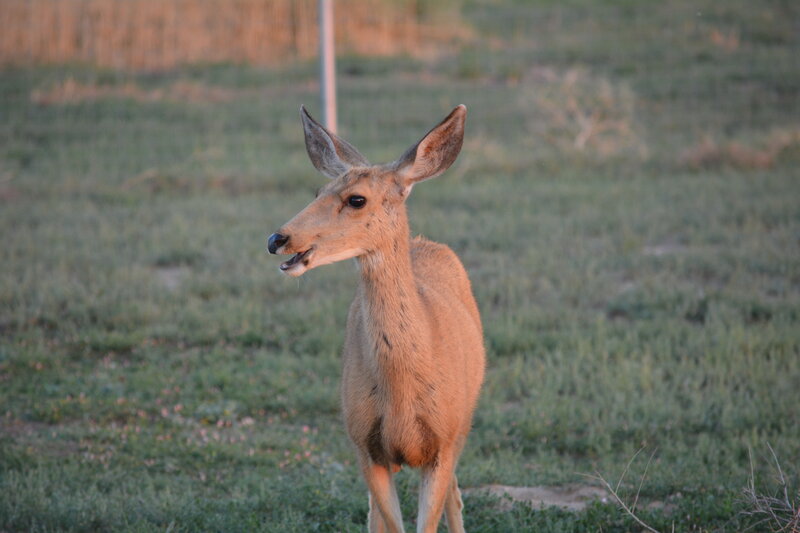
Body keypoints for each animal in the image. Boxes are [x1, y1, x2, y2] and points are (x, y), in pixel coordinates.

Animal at [267, 104, 485, 533]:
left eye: (356, 199)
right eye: (317, 193)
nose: (277, 239)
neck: (402, 389)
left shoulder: (443, 441)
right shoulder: (365, 447)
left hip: (462, 426)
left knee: (455, 497)